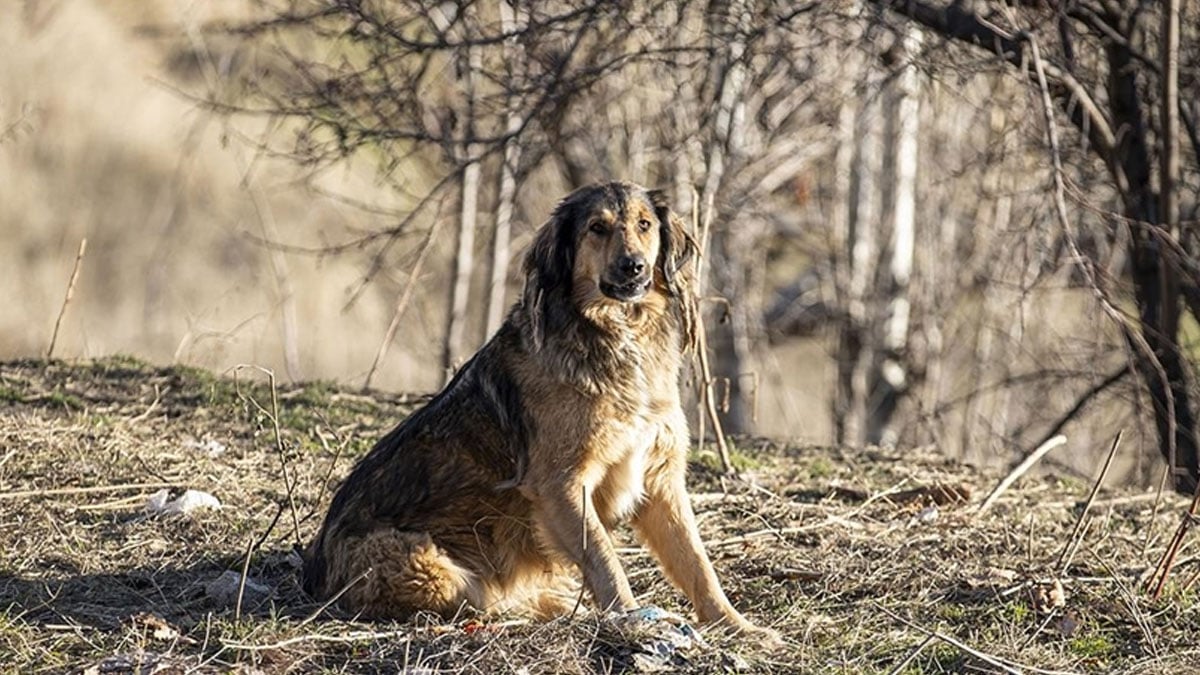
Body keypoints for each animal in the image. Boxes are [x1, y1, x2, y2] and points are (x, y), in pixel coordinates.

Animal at [304, 178, 772, 634]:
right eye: (597, 228)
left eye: (645, 225)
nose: (634, 266)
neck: (618, 334)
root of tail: (316, 574)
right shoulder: (560, 484)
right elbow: (604, 557)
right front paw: (631, 617)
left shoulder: (659, 478)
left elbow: (696, 562)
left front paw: (736, 625)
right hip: (430, 565)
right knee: (477, 599)